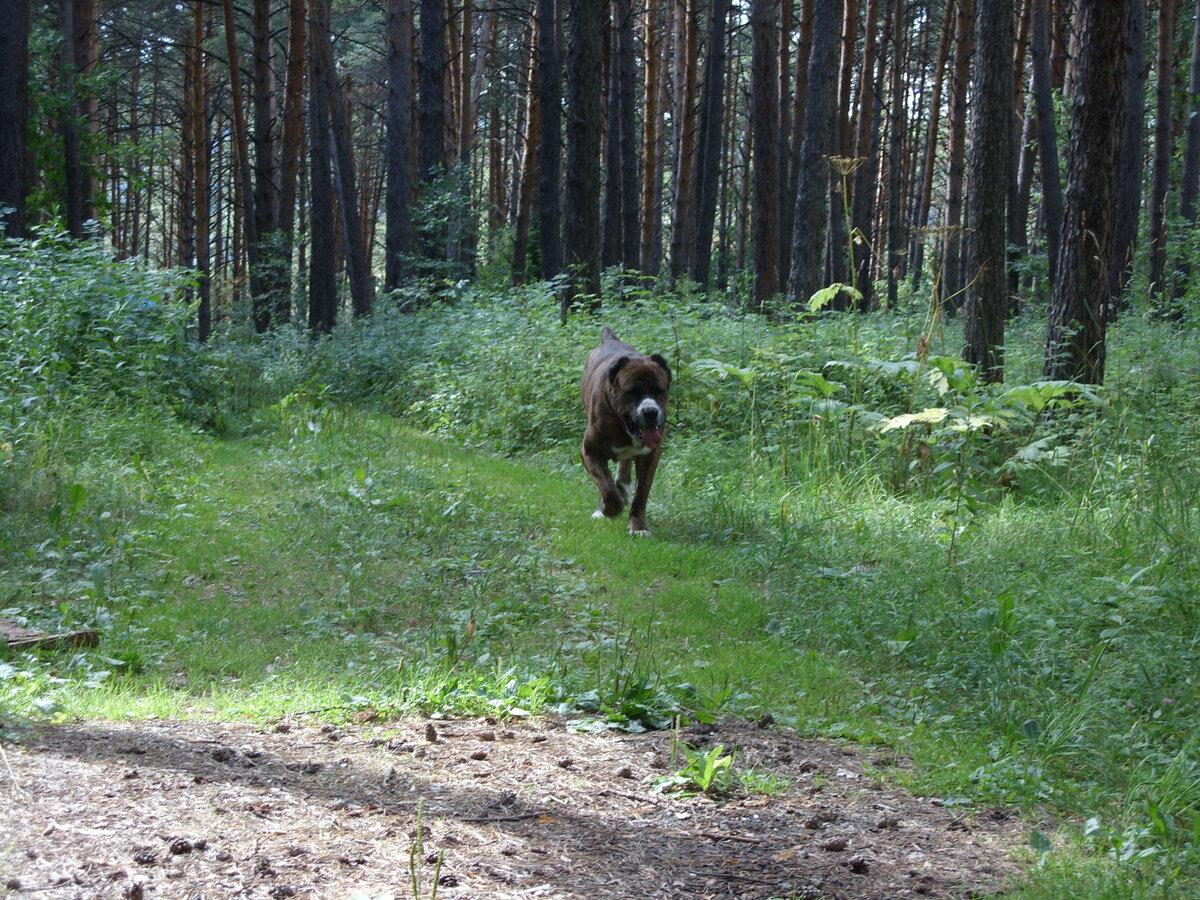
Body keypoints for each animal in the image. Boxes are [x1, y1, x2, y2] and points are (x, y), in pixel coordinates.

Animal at [578, 328, 672, 535]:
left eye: (659, 391)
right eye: (632, 392)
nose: (651, 411)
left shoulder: (651, 455)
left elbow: (641, 494)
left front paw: (638, 526)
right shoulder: (590, 452)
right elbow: (607, 488)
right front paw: (609, 509)